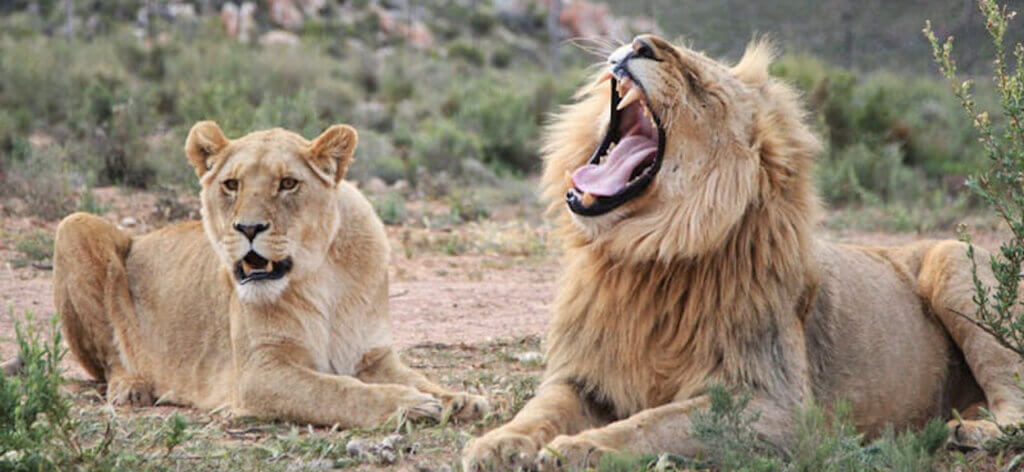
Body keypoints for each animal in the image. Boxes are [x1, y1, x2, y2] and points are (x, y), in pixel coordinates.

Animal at [49, 121, 488, 427]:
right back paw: (132, 386)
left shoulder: (372, 356)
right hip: (74, 225)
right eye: (231, 184)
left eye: (288, 183)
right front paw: (409, 405)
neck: (320, 273)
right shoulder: (259, 372)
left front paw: (458, 399)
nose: (248, 228)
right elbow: (339, 391)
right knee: (109, 361)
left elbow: (416, 376)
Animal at [461, 35, 1024, 471]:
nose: (640, 43)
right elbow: (542, 409)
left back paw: (973, 431)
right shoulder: (584, 376)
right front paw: (497, 444)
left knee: (1014, 399)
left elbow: (652, 424)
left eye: (700, 85)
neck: (645, 257)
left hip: (953, 262)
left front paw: (579, 449)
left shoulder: (778, 405)